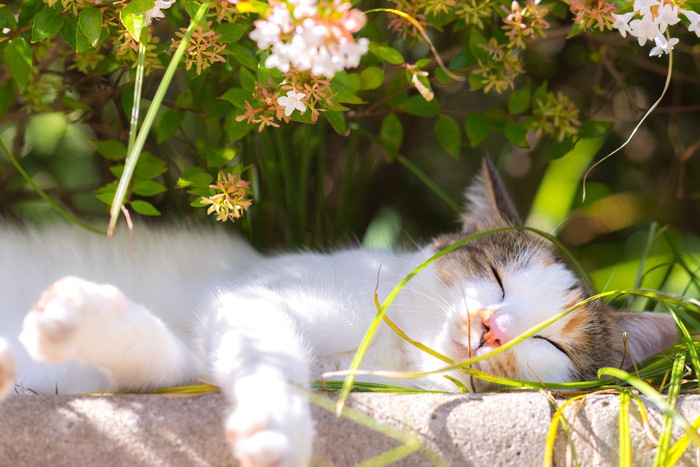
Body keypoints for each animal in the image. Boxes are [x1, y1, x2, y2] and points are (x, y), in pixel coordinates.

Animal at [0, 159, 680, 466]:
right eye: (494, 277)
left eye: (552, 344)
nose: (490, 328)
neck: (387, 353)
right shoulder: (254, 294)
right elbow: (261, 353)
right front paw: (276, 424)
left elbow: (169, 362)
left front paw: (80, 320)